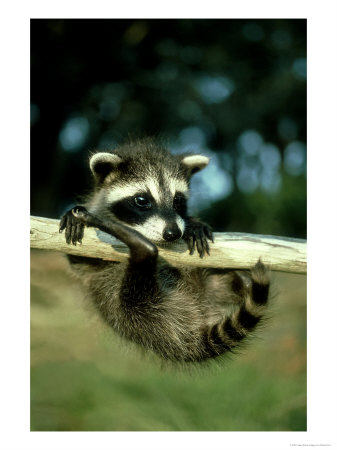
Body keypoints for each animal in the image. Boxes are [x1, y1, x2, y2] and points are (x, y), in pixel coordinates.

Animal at [59, 137, 270, 362]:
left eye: (178, 200)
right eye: (142, 200)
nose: (173, 233)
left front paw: (193, 224)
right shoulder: (89, 262)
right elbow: (79, 261)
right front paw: (74, 216)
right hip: (133, 308)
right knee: (142, 264)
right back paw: (139, 244)